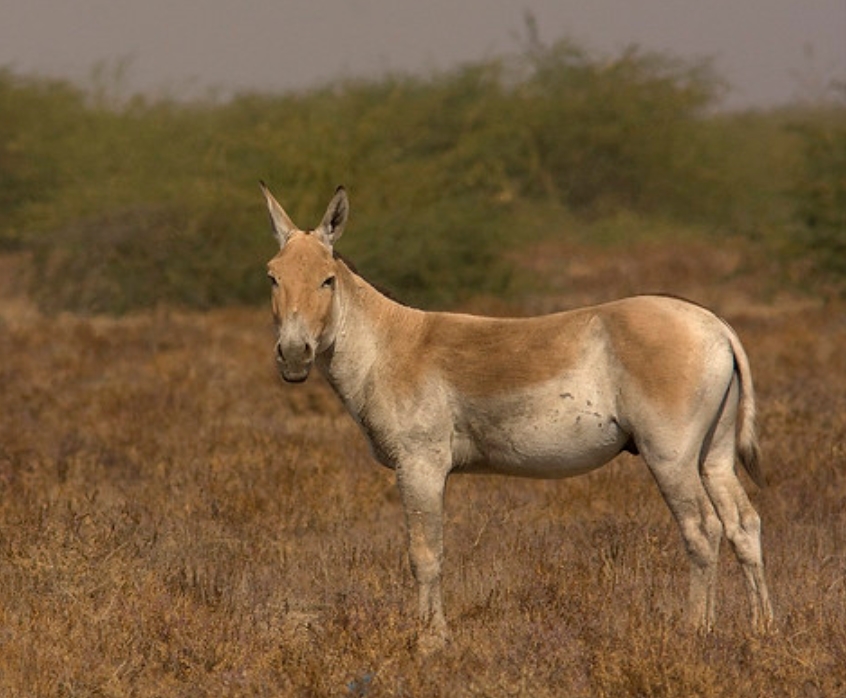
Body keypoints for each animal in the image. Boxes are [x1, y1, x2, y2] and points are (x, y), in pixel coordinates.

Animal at [261, 183, 773, 649]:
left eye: (327, 280)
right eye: (272, 277)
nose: (293, 356)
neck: (390, 347)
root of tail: (715, 325)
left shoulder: (420, 465)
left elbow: (425, 553)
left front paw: (430, 640)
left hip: (670, 457)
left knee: (702, 530)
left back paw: (696, 632)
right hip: (713, 456)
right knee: (743, 525)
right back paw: (761, 630)